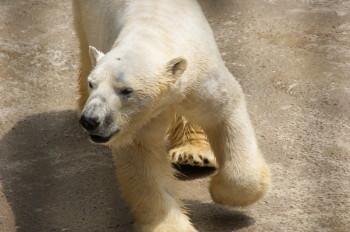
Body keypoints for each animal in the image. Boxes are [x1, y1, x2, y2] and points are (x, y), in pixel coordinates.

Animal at [73, 0, 270, 231]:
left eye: (126, 90)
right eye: (92, 83)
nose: (90, 120)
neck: (153, 31)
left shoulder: (200, 76)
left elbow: (225, 113)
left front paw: (222, 192)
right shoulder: (138, 121)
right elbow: (144, 159)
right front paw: (171, 225)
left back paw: (194, 155)